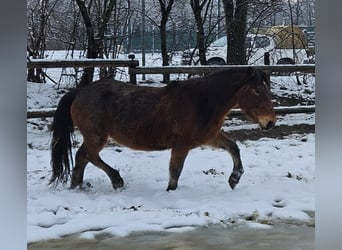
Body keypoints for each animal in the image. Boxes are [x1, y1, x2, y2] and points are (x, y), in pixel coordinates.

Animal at [50, 67, 276, 190]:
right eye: (257, 91)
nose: (270, 122)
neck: (202, 101)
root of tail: (80, 92)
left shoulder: (209, 137)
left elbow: (233, 147)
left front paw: (234, 179)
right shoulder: (181, 145)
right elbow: (175, 171)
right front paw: (170, 191)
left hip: (94, 137)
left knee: (82, 157)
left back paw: (77, 186)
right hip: (97, 136)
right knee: (89, 156)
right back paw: (116, 180)